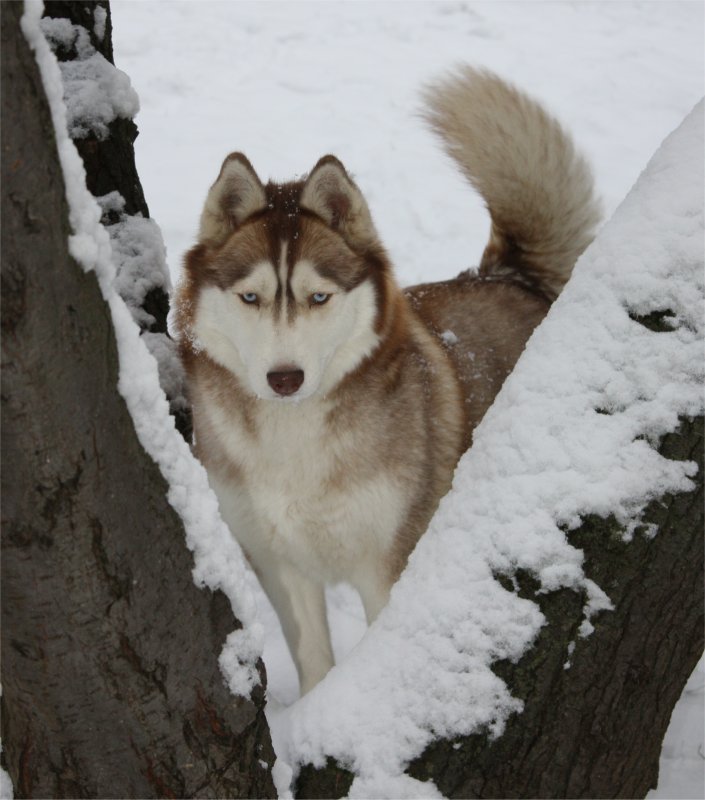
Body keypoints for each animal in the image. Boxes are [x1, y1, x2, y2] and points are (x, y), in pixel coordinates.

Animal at [173, 67, 601, 695]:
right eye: (250, 297)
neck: (293, 438)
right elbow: (314, 658)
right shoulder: (280, 564)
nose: (284, 377)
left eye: (318, 297)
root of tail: (511, 279)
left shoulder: (390, 563)